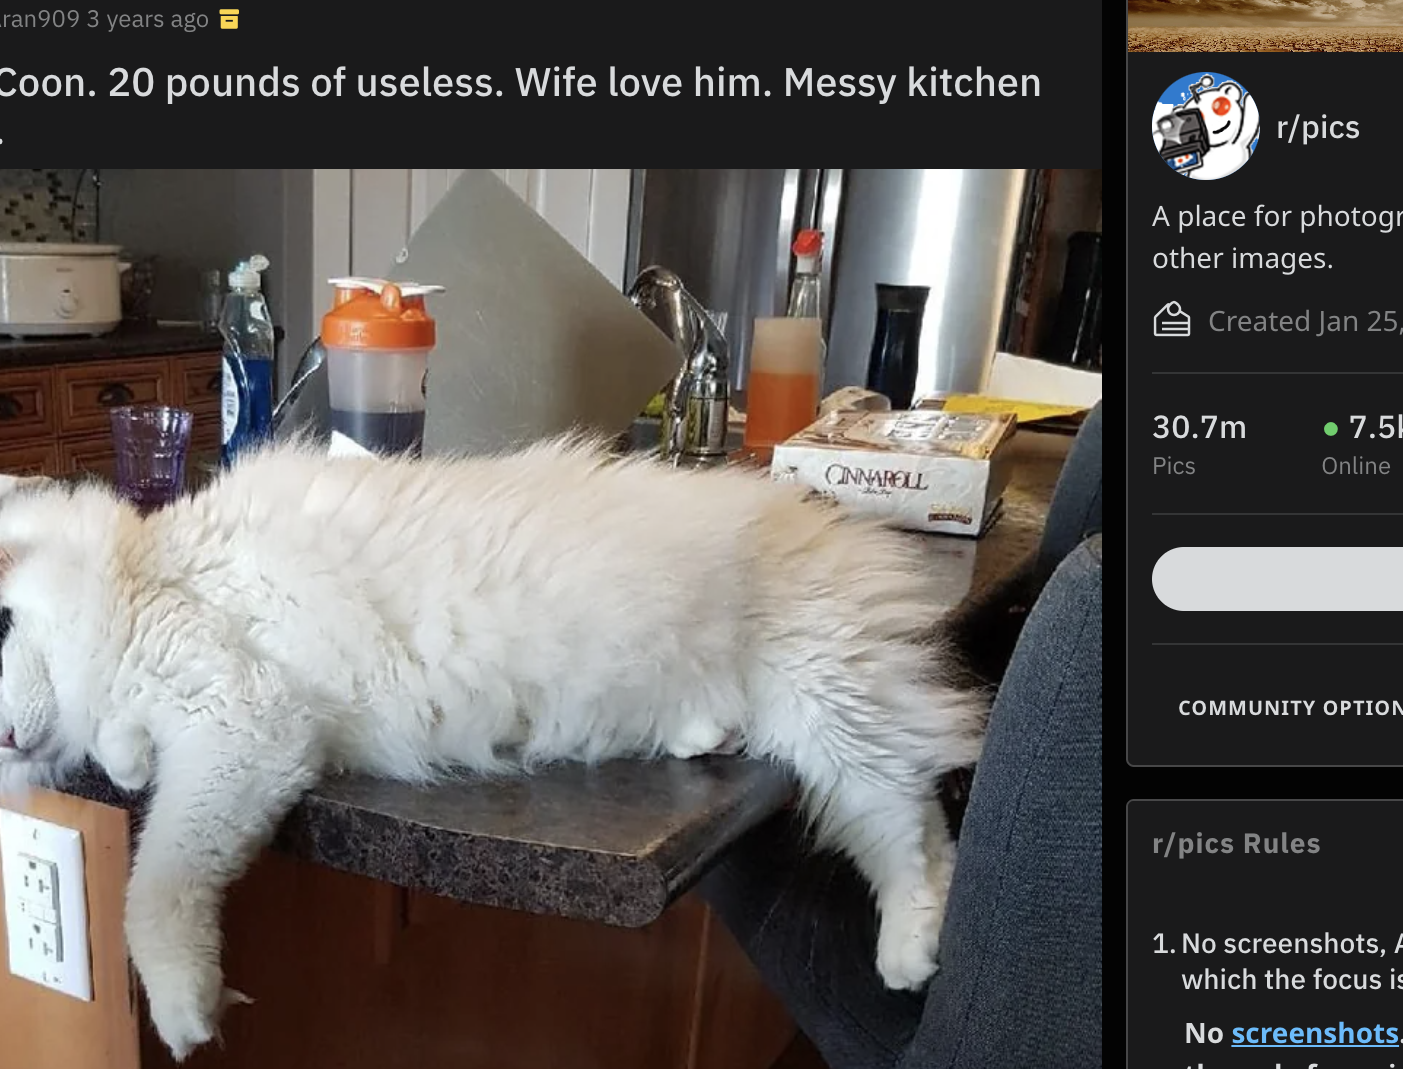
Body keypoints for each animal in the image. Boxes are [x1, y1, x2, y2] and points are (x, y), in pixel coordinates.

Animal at [0, 434, 987, 1060]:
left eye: (0, 625)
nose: (9, 735)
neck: (147, 574)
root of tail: (822, 516)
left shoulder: (239, 723)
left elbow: (155, 887)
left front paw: (185, 1009)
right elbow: (133, 766)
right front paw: (122, 756)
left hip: (833, 708)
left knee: (917, 832)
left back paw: (912, 958)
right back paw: (701, 732)